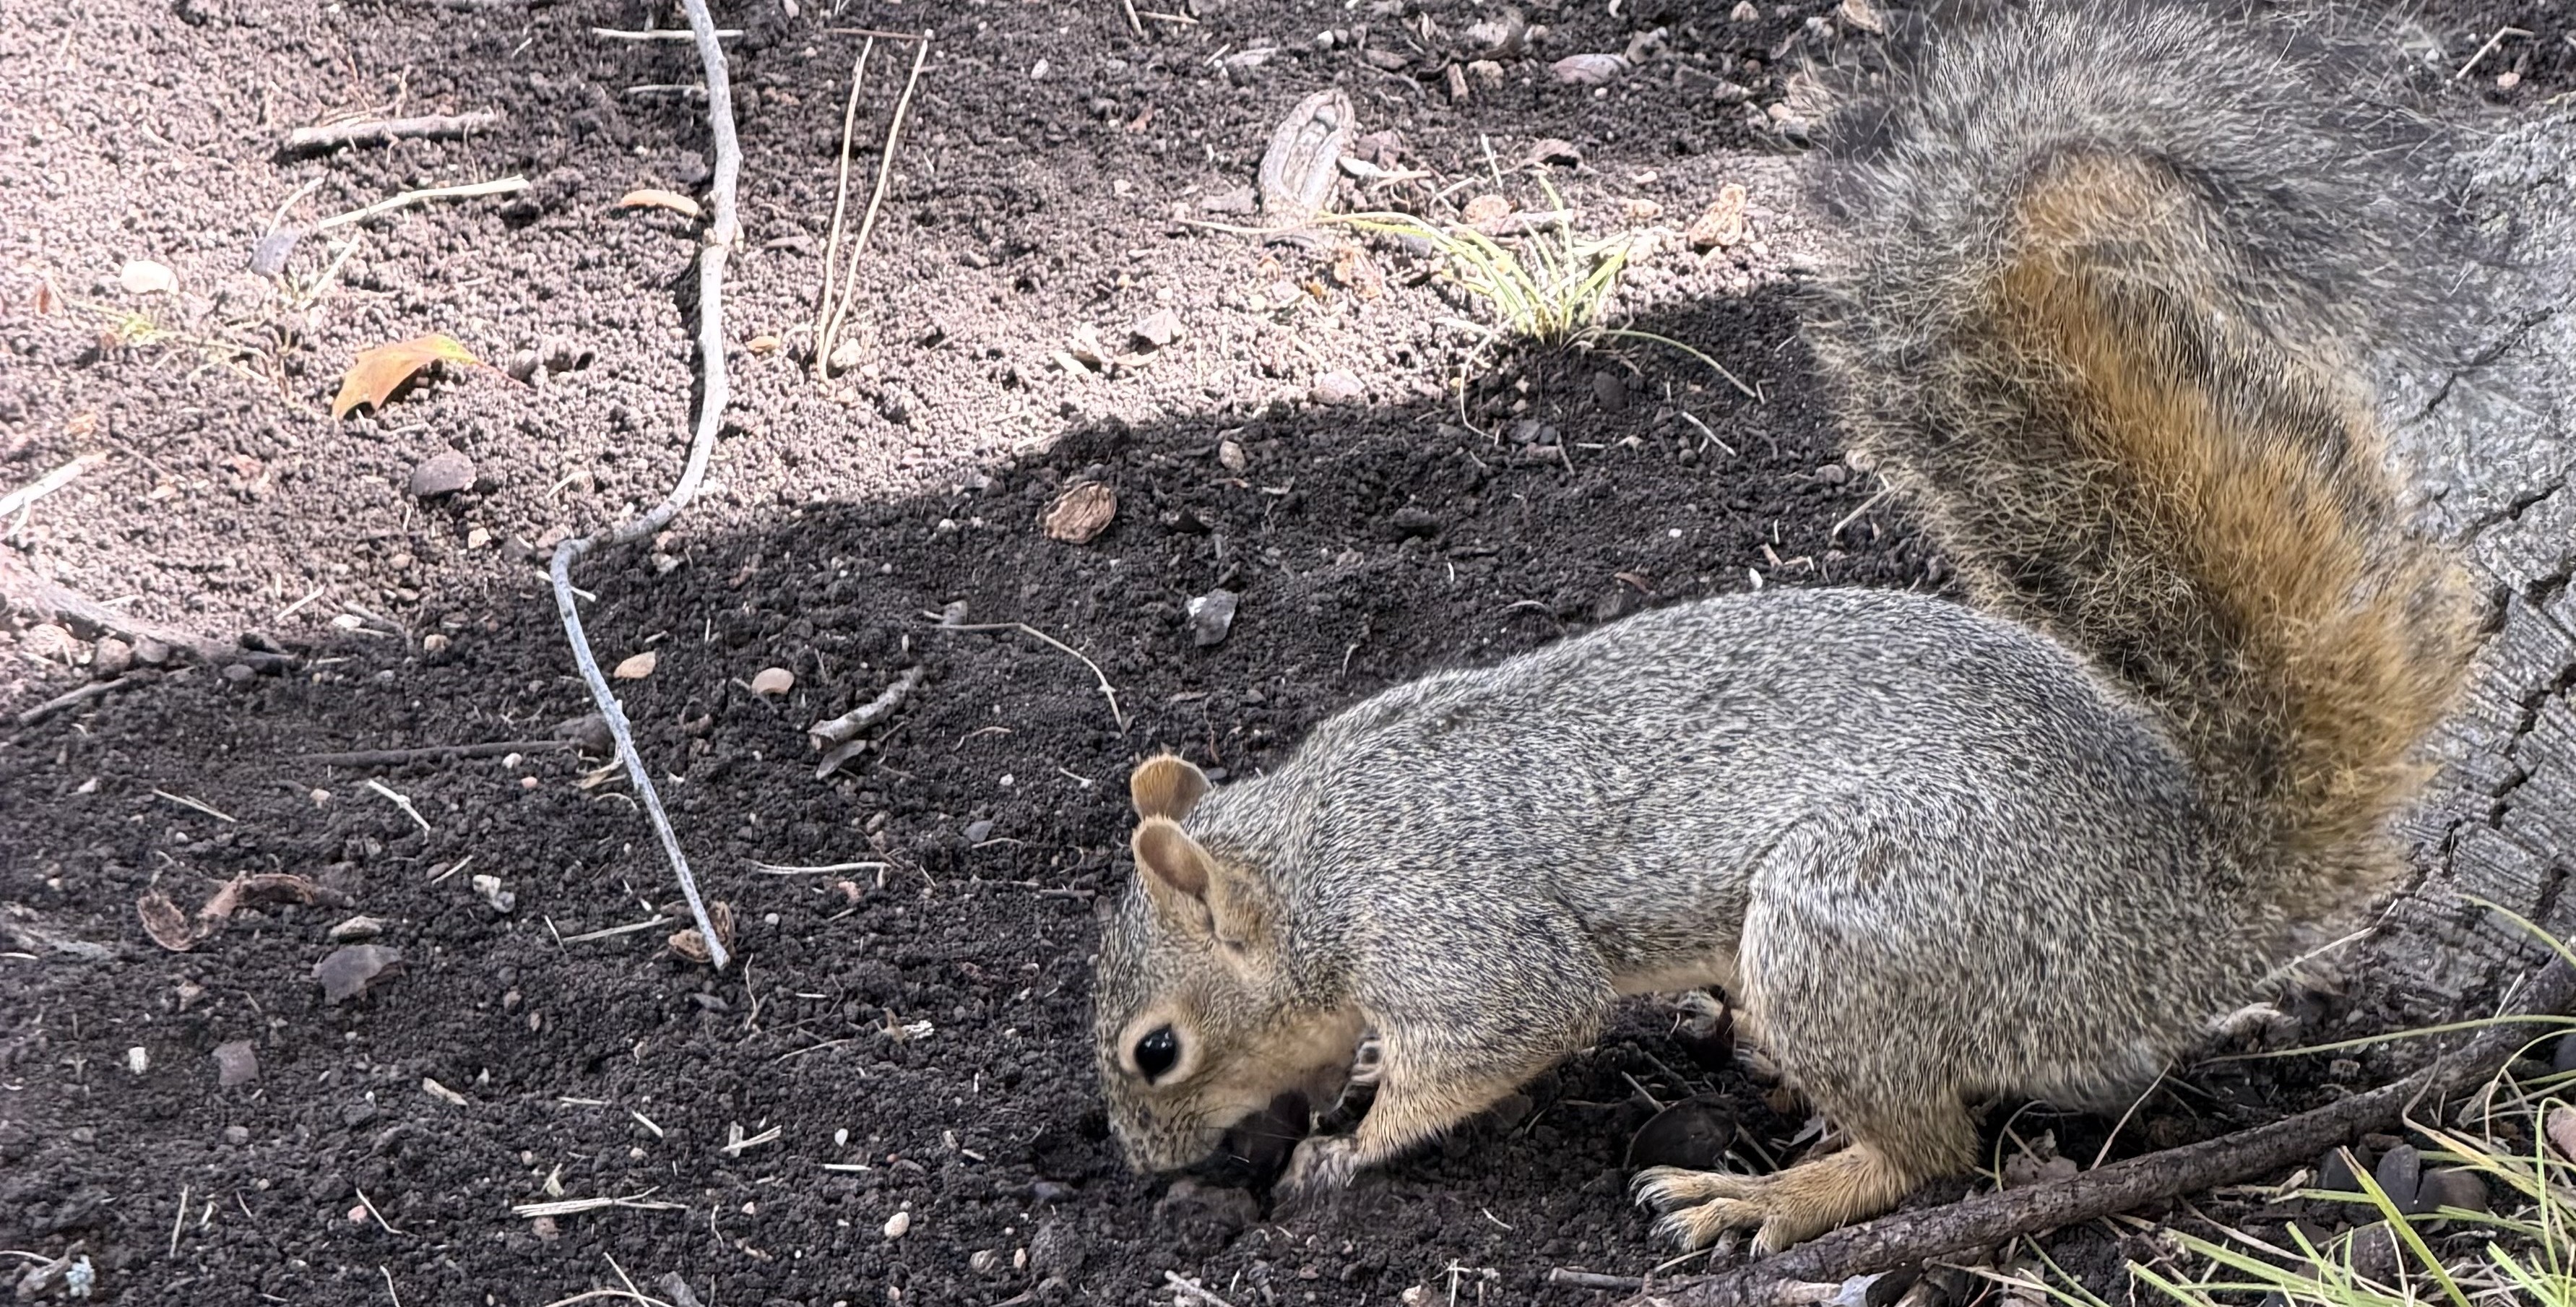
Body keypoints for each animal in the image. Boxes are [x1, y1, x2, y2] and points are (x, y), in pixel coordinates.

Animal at [1091, 0, 2479, 1254]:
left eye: (1156, 1048)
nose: (1146, 1170)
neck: (1316, 858)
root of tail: (2188, 911)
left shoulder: (1458, 939)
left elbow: (1506, 1034)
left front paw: (1346, 1144)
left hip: (1851, 925)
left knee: (1929, 1152)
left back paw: (1762, 1196)